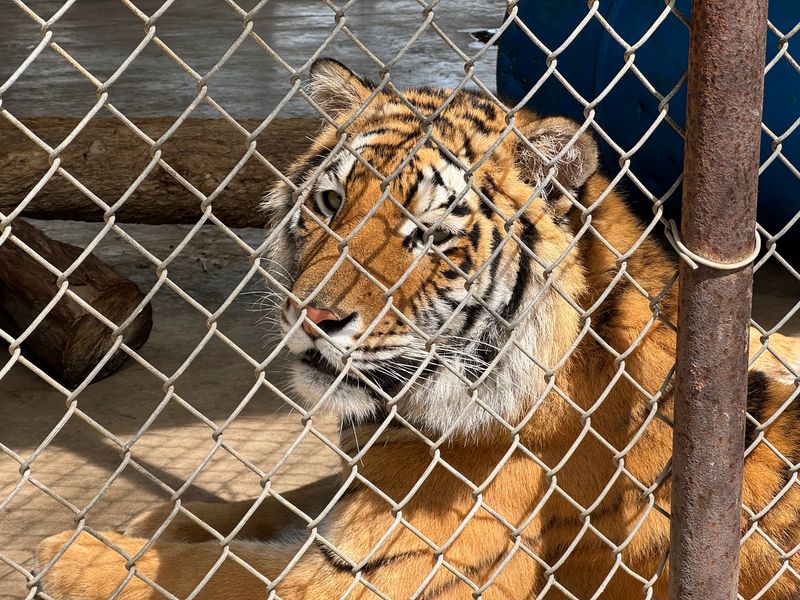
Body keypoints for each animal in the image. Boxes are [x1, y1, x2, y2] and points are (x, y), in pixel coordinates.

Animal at [37, 58, 800, 599]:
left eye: (430, 237)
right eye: (331, 201)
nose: (312, 317)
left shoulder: (376, 573)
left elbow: (214, 575)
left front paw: (70, 556)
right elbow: (260, 510)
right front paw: (148, 521)